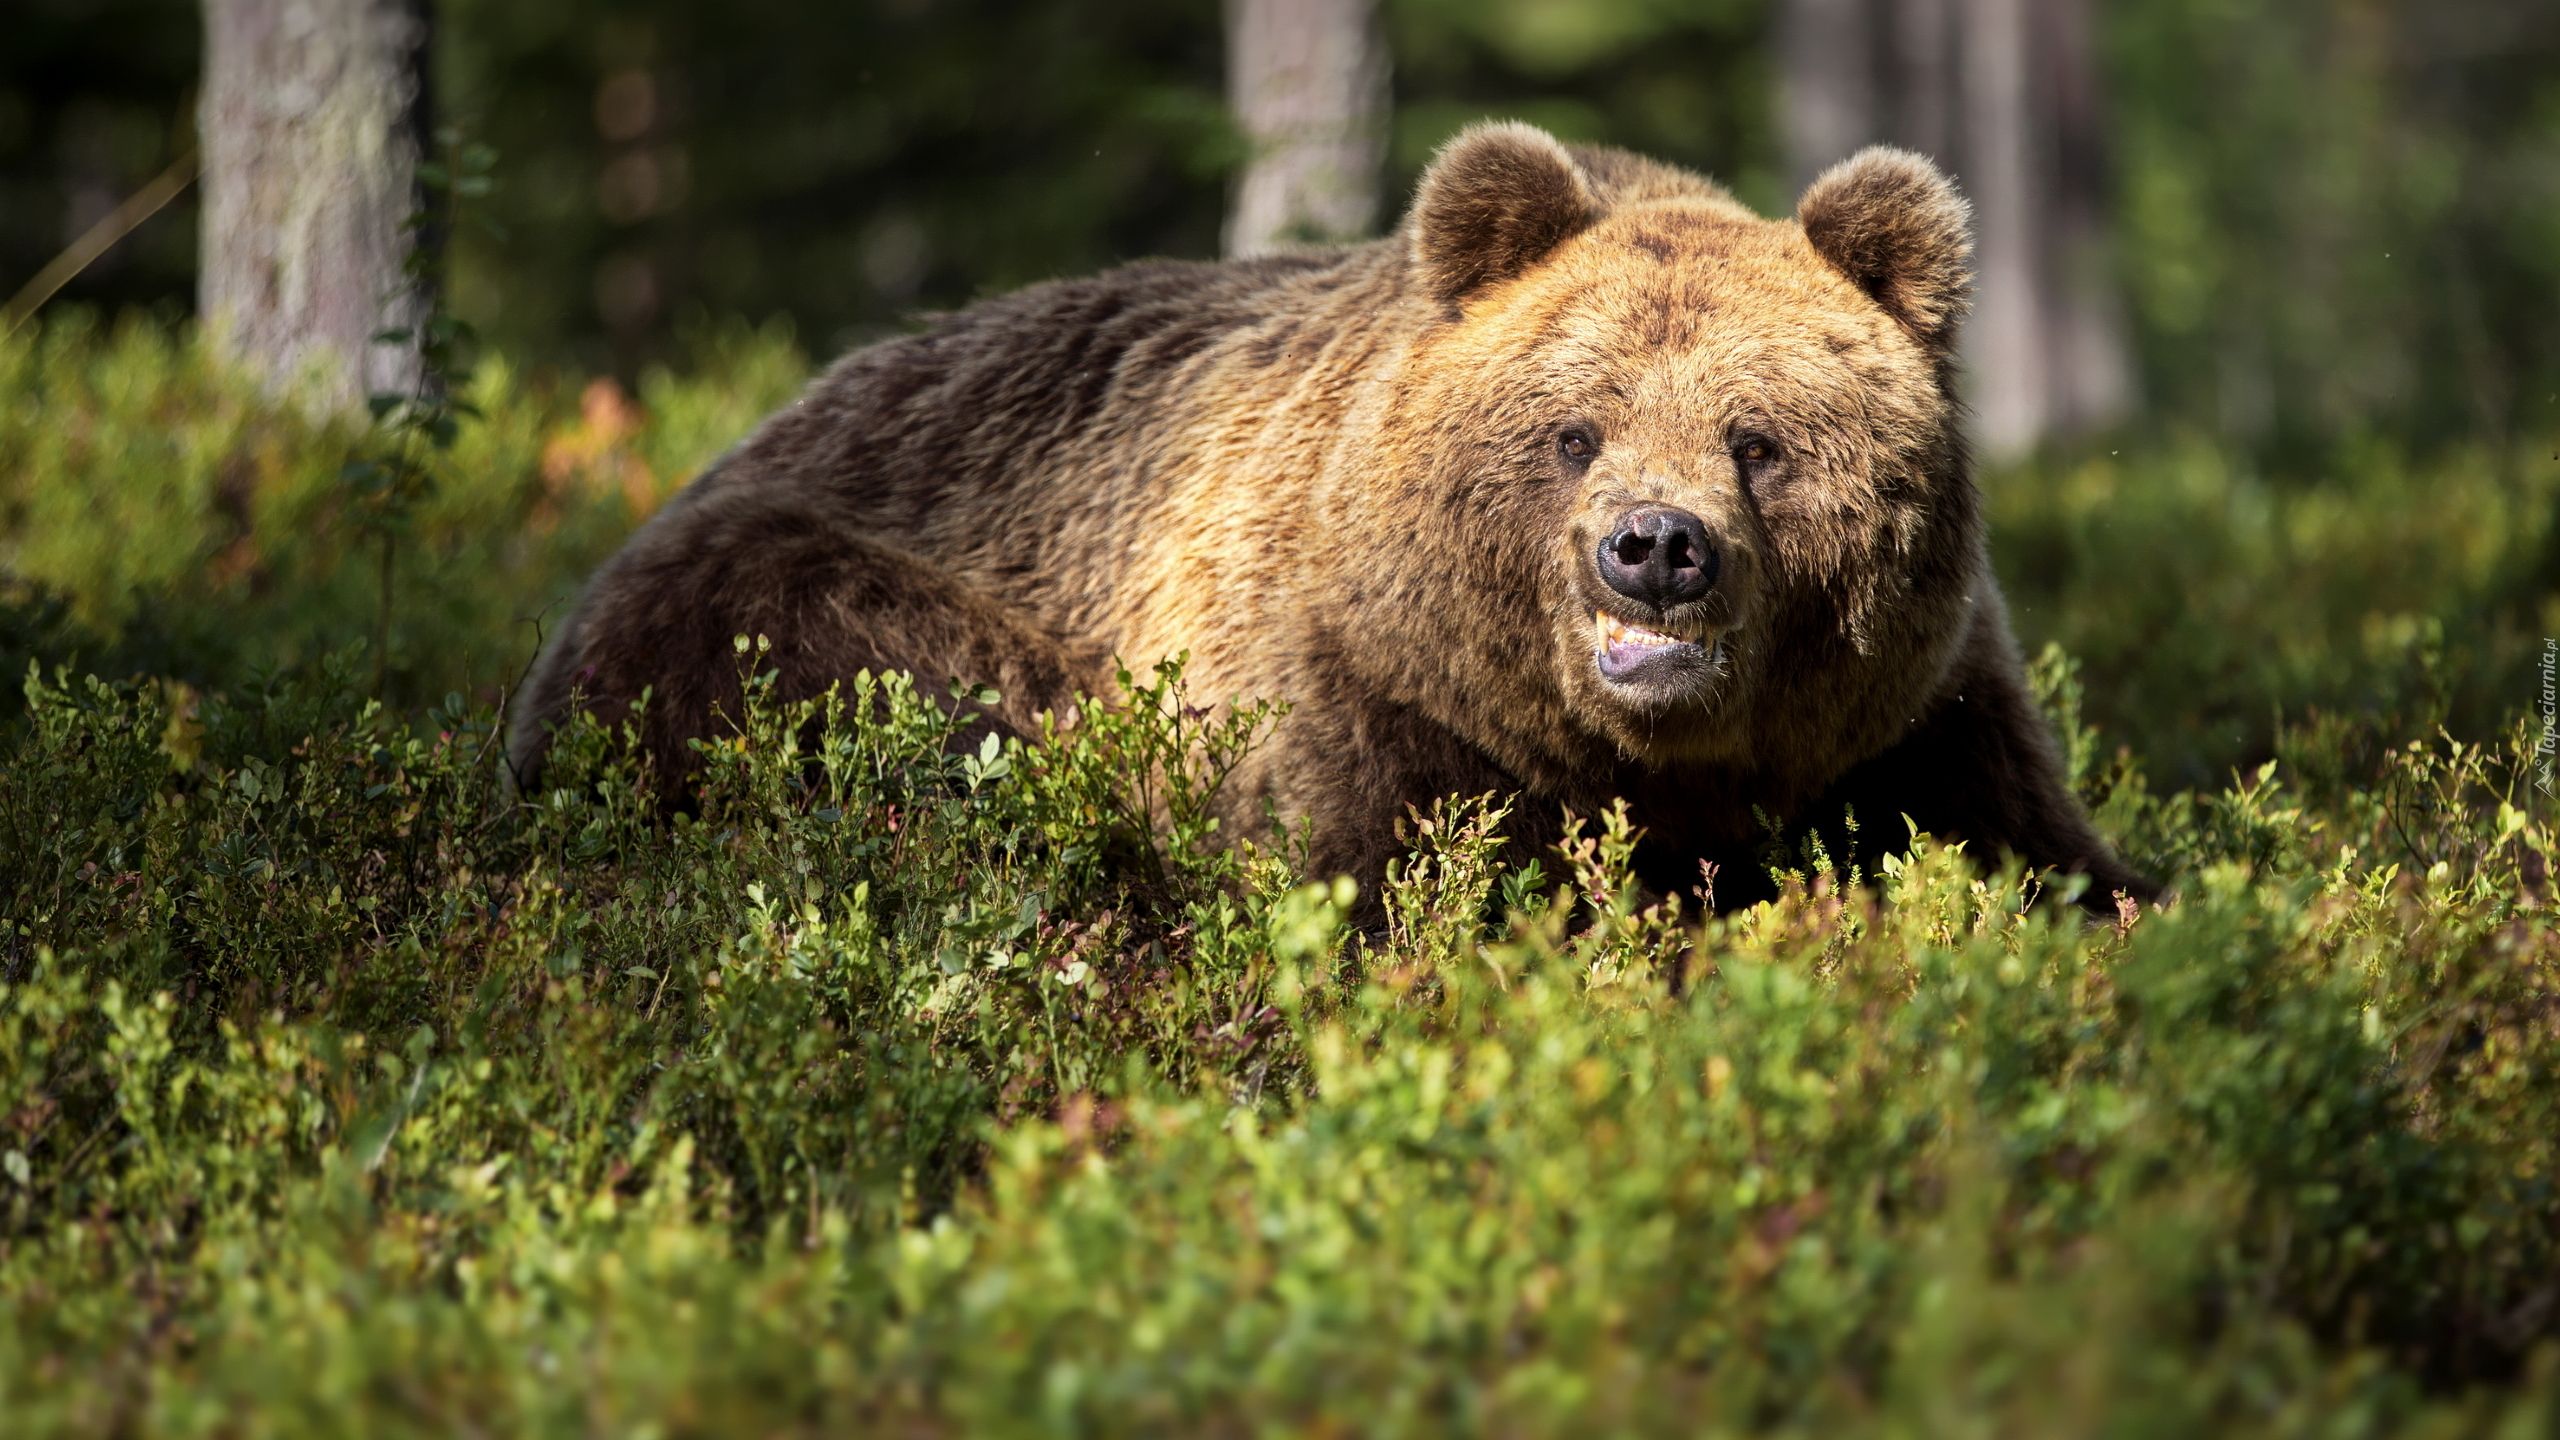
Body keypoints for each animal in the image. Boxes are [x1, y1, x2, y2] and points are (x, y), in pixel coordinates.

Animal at [514, 122, 2160, 907]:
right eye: (1575, 431)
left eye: (1757, 441)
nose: (1654, 550)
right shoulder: (1350, 691)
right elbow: (1367, 888)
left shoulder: (1915, 714)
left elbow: (2039, 853)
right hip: (791, 600)